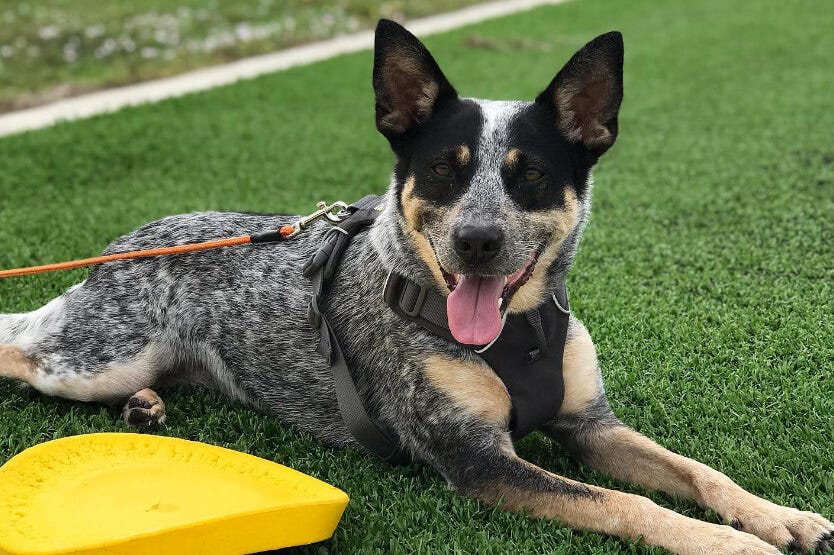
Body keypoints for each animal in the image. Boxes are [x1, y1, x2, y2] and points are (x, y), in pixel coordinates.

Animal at [0, 18, 828, 555]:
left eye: (530, 176)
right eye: (441, 169)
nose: (478, 239)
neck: (520, 331)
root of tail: (124, 243)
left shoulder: (591, 423)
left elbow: (698, 470)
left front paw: (779, 516)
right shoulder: (478, 459)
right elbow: (626, 503)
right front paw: (728, 545)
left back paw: (147, 406)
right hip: (97, 355)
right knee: (22, 349)